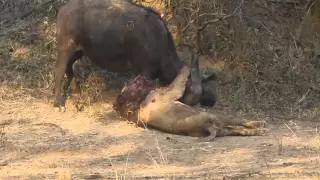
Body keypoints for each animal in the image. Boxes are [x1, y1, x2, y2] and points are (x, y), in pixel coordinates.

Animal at [53, 0, 216, 109]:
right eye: (189, 90)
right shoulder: (143, 72)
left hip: (79, 52)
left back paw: (77, 95)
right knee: (59, 71)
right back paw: (58, 103)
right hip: (65, 48)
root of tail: (64, 9)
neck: (160, 41)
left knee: (69, 68)